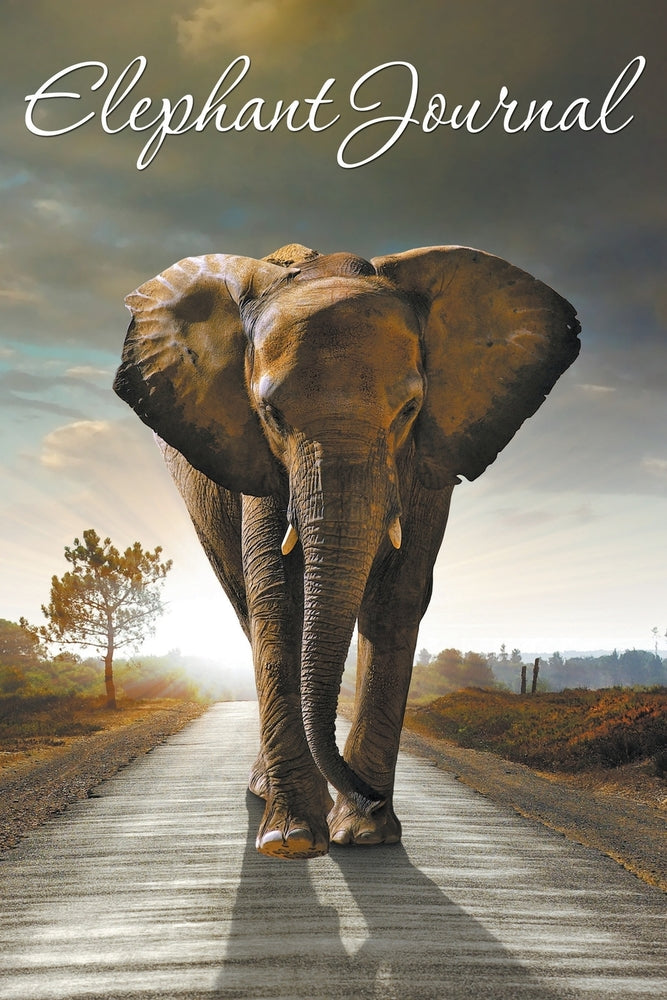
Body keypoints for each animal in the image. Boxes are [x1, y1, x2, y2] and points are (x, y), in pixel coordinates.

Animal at [113, 242, 580, 859]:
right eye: (271, 414)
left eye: (409, 410)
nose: (370, 797)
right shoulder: (258, 462)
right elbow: (278, 599)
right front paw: (291, 840)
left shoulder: (428, 459)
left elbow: (397, 599)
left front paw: (364, 834)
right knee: (245, 606)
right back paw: (268, 794)